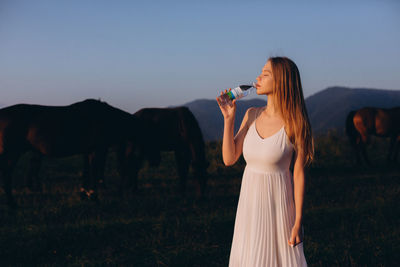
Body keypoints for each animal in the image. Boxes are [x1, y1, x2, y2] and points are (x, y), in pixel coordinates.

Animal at [0, 99, 141, 208]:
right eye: (133, 167)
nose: (133, 189)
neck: (105, 118)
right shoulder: (97, 151)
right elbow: (94, 172)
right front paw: (94, 197)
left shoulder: (88, 152)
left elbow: (86, 172)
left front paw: (84, 194)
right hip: (12, 153)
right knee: (7, 174)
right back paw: (12, 203)